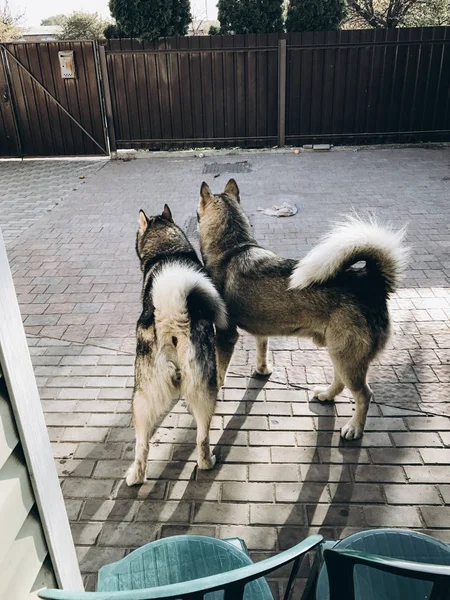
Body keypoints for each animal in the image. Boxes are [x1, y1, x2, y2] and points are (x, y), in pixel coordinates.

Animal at [125, 204, 225, 486]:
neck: (167, 251)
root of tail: (172, 318)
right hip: (203, 390)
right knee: (201, 436)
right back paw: (204, 463)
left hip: (141, 395)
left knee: (142, 443)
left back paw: (135, 475)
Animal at [197, 179, 408, 440]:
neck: (234, 248)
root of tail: (370, 280)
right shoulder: (262, 330)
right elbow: (262, 349)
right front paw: (262, 369)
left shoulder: (226, 335)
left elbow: (219, 370)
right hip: (340, 354)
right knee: (340, 382)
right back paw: (326, 395)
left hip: (347, 359)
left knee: (364, 395)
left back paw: (355, 428)